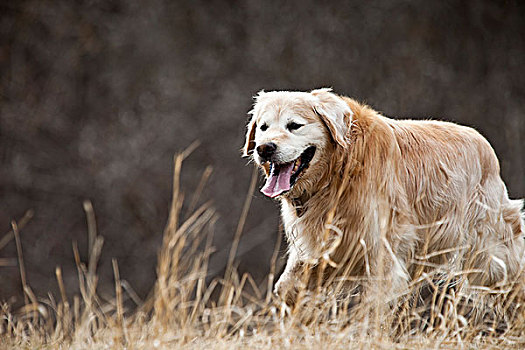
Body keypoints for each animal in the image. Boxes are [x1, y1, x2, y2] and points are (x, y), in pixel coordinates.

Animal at [243, 88, 524, 306]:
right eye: (263, 127)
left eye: (294, 125)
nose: (264, 148)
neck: (341, 171)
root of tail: (484, 146)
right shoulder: (322, 250)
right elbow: (285, 287)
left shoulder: (381, 256)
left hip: (492, 252)